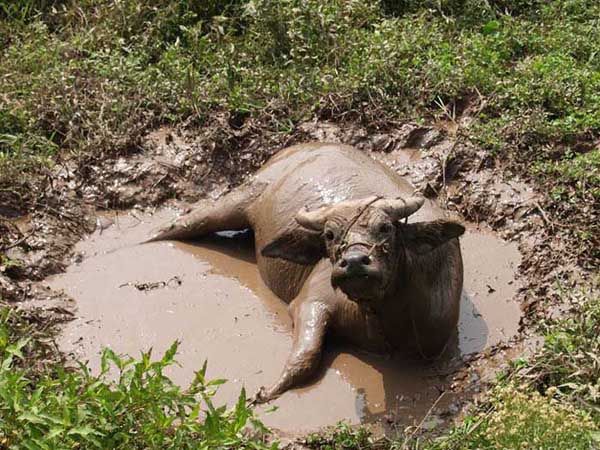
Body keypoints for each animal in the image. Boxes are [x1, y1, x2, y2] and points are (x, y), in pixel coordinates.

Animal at [149, 142, 464, 402]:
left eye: (385, 228)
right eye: (330, 235)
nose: (354, 262)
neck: (379, 318)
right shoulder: (310, 299)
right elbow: (306, 354)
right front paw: (271, 391)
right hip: (239, 199)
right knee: (189, 222)